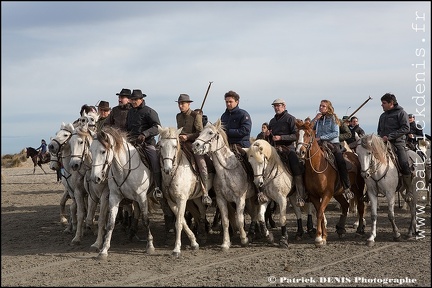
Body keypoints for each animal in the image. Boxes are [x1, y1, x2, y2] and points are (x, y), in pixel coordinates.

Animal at [88, 127, 154, 260]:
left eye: (103, 151)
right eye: (91, 151)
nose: (95, 178)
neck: (124, 169)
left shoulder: (142, 197)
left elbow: (146, 220)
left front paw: (150, 246)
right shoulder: (114, 198)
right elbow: (110, 223)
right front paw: (104, 250)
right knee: (136, 212)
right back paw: (131, 233)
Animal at [157, 126, 209, 256]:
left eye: (175, 146)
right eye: (160, 145)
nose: (167, 169)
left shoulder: (181, 200)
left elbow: (179, 222)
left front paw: (176, 249)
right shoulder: (172, 202)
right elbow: (183, 221)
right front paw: (194, 242)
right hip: (196, 197)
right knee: (201, 211)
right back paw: (202, 233)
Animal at [193, 118, 266, 251]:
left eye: (210, 133)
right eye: (200, 132)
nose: (195, 145)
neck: (227, 171)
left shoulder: (240, 199)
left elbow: (240, 219)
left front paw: (244, 239)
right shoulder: (221, 200)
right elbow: (226, 221)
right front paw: (226, 243)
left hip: (253, 197)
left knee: (256, 213)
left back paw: (254, 234)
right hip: (249, 199)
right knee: (253, 213)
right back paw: (254, 234)